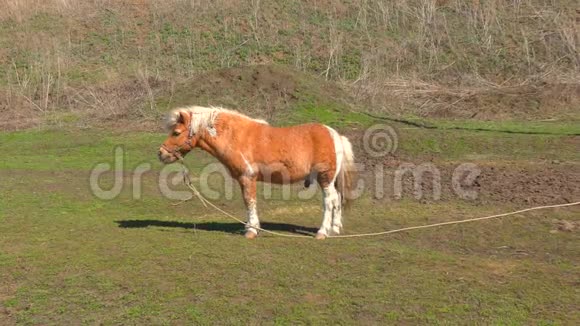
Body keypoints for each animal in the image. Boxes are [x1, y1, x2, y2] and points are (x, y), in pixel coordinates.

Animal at [160, 105, 358, 238]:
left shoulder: (247, 178)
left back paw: (322, 232)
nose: (161, 153)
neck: (236, 137)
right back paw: (335, 228)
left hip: (325, 179)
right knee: (337, 199)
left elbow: (249, 202)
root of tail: (335, 135)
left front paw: (251, 230)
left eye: (176, 132)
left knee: (329, 201)